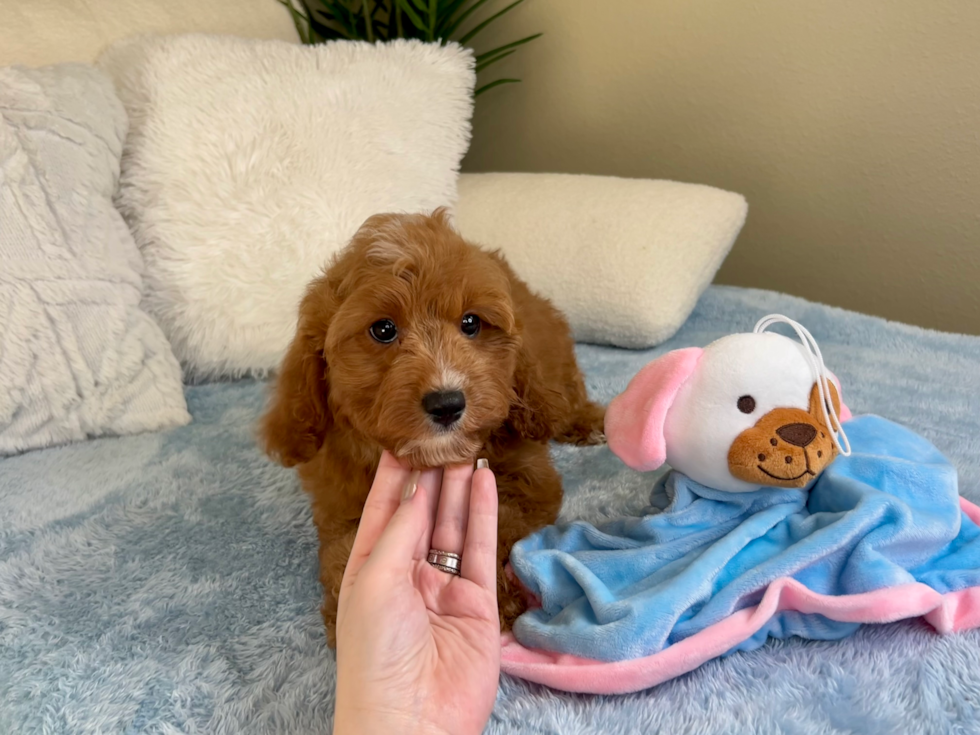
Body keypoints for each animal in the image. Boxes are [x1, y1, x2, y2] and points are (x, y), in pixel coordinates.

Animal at [260, 208, 604, 644]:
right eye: (383, 330)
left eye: (471, 323)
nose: (447, 404)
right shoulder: (342, 503)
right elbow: (348, 550)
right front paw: (354, 619)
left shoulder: (529, 479)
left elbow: (497, 522)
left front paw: (490, 598)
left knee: (564, 399)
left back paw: (590, 421)